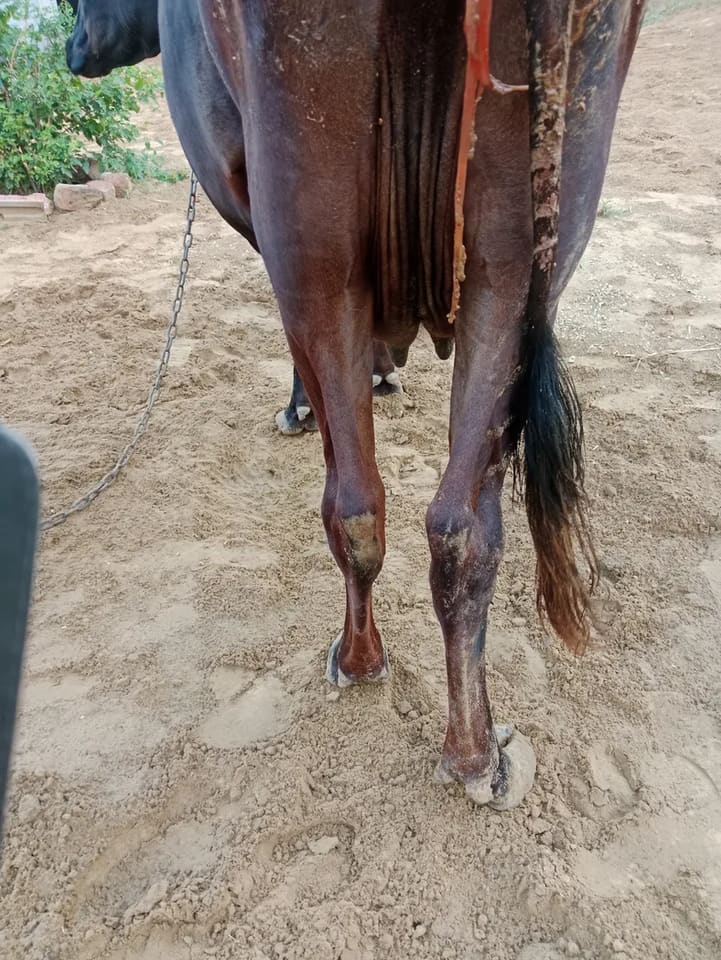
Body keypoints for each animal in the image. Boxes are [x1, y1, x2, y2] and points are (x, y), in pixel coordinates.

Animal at [66, 0, 647, 809]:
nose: (71, 48)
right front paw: (384, 370)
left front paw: (311, 400)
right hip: (511, 256)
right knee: (445, 524)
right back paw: (467, 747)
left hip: (315, 240)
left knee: (358, 502)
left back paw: (365, 663)